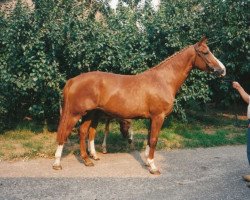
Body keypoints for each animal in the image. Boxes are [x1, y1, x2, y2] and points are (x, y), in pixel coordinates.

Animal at [53, 37, 227, 173]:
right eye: (205, 52)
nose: (223, 70)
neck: (163, 80)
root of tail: (73, 80)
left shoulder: (152, 118)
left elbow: (150, 139)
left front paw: (147, 162)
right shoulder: (158, 117)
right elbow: (154, 139)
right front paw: (153, 167)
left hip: (89, 113)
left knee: (83, 132)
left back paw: (88, 160)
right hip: (75, 113)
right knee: (64, 133)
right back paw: (57, 163)